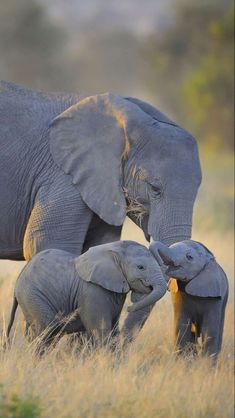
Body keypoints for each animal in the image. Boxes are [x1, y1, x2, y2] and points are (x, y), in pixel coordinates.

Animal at [6, 240, 166, 354]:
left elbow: (113, 330)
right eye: (141, 267)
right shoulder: (93, 292)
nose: (130, 307)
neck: (114, 249)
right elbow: (101, 330)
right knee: (46, 331)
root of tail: (18, 281)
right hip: (33, 296)